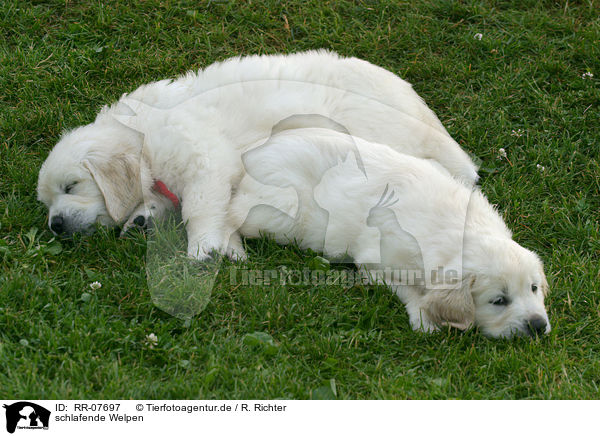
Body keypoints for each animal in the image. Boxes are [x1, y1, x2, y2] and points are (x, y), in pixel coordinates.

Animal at [37, 49, 478, 258]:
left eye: (72, 186)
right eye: (47, 202)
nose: (55, 225)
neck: (142, 138)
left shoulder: (205, 159)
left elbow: (202, 207)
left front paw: (204, 249)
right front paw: (146, 219)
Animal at [227, 127, 552, 338]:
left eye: (534, 288)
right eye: (499, 301)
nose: (538, 326)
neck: (462, 231)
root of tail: (252, 154)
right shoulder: (377, 263)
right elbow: (410, 290)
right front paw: (424, 317)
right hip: (278, 215)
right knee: (234, 213)